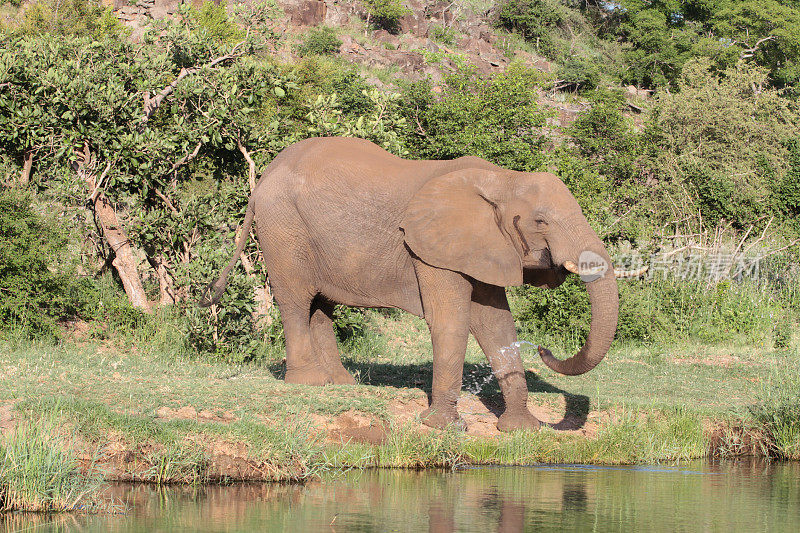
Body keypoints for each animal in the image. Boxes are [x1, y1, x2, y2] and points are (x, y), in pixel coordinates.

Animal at [203, 137, 628, 432]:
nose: (543, 349)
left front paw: (521, 429)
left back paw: (340, 384)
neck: (502, 178)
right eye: (541, 221)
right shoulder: (429, 246)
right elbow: (451, 321)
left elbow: (496, 324)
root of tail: (264, 177)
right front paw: (443, 428)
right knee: (295, 299)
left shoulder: (481, 245)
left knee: (321, 305)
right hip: (283, 229)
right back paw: (308, 382)